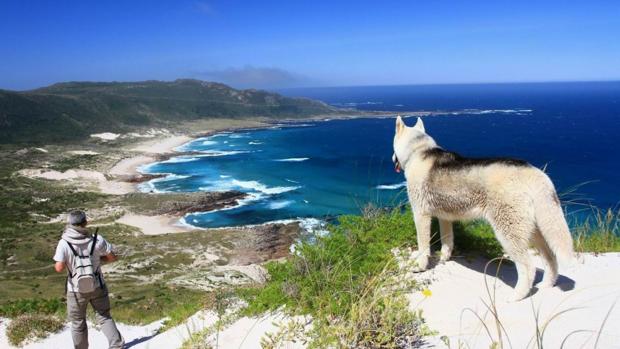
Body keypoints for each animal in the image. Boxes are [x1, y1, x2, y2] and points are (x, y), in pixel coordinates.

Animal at [392, 115, 576, 300]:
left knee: (528, 267)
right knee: (551, 259)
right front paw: (444, 258)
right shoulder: (445, 217)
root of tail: (534, 172)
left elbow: (423, 247)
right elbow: (447, 241)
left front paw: (420, 266)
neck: (418, 151)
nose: (392, 158)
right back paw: (546, 285)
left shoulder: (421, 215)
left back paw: (517, 295)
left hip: (508, 233)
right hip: (534, 232)